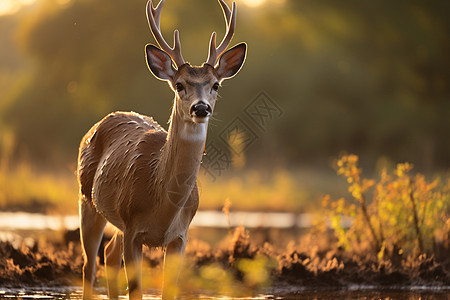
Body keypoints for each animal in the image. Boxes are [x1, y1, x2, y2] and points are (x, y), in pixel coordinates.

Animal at [77, 0, 246, 298]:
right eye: (179, 85)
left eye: (215, 85)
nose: (201, 108)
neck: (162, 207)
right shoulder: (133, 229)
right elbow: (136, 289)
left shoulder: (180, 236)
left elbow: (170, 289)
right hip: (87, 198)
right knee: (90, 265)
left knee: (109, 253)